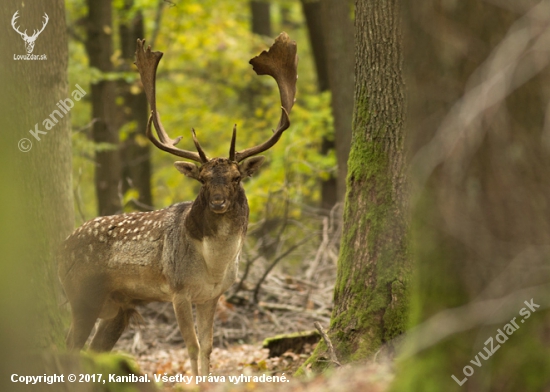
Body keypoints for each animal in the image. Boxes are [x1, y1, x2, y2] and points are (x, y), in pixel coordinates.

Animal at [59, 32, 298, 376]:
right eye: (203, 179)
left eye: (237, 177)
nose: (218, 202)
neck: (214, 265)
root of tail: (59, 248)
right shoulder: (178, 290)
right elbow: (192, 345)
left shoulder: (212, 295)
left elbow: (208, 346)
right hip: (82, 295)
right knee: (69, 346)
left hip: (117, 307)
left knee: (93, 350)